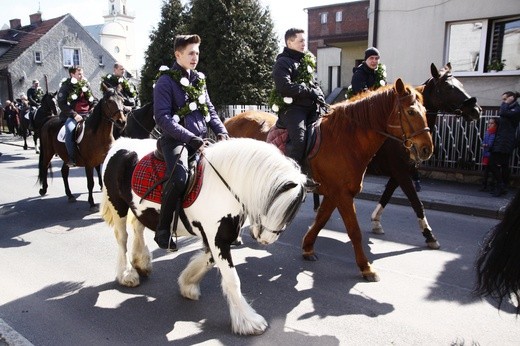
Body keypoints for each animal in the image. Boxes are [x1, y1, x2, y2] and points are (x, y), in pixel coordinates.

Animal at [101, 137, 312, 334]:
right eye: (273, 202)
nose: (266, 239)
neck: (224, 186)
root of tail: (120, 143)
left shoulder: (217, 237)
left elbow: (207, 261)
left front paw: (187, 284)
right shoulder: (216, 238)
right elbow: (232, 279)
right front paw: (249, 321)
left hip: (141, 209)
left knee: (138, 228)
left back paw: (142, 263)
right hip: (118, 204)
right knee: (122, 238)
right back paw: (127, 274)